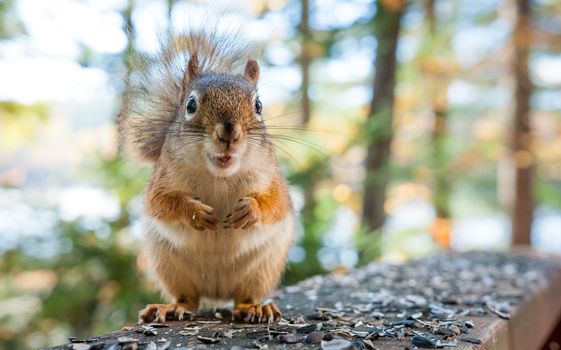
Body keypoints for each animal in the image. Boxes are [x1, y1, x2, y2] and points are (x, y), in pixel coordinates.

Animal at [120, 28, 296, 324]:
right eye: (191, 105)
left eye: (259, 105)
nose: (229, 132)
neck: (220, 177)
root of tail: (217, 291)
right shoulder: (162, 178)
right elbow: (159, 203)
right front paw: (194, 212)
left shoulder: (272, 177)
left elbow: (277, 204)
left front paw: (251, 209)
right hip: (169, 264)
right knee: (188, 298)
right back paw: (171, 308)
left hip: (262, 268)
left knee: (244, 296)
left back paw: (254, 307)